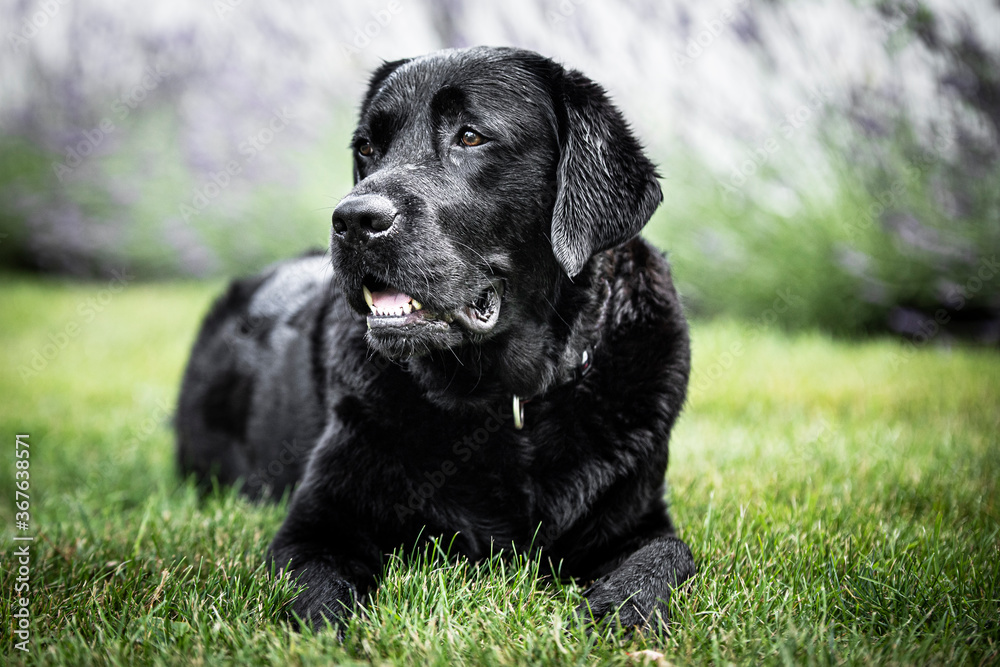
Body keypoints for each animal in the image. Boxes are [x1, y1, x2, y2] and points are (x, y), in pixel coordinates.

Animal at [176, 45, 696, 632]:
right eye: (367, 148)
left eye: (470, 137)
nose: (353, 219)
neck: (508, 401)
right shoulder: (318, 523)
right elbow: (320, 596)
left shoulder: (636, 518)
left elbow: (671, 552)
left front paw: (620, 611)